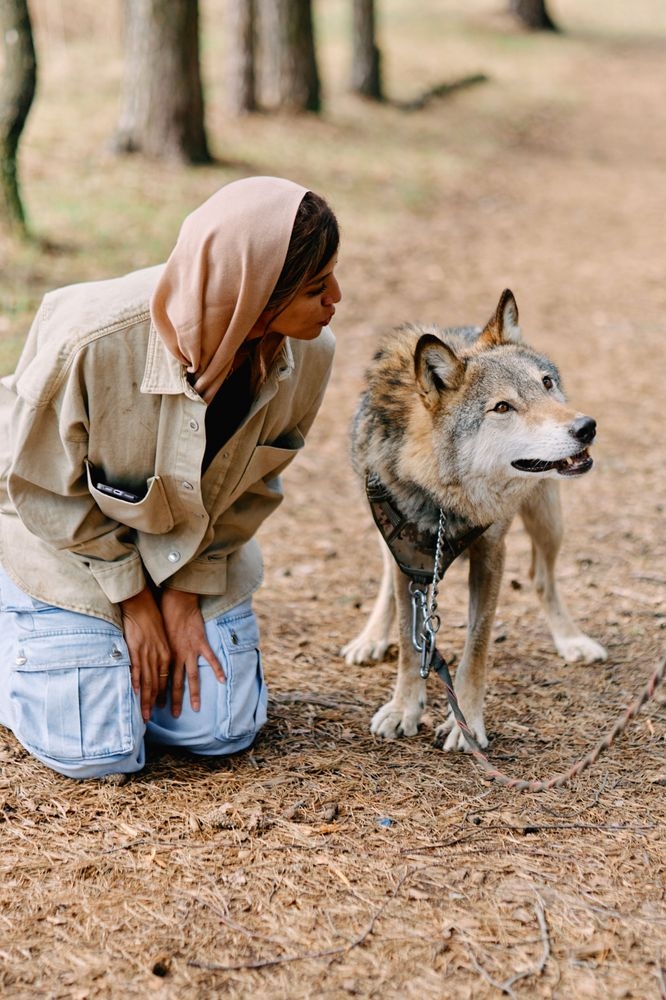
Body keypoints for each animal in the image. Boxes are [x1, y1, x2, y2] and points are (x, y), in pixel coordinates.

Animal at [342, 290, 608, 752]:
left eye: (546, 383)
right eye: (502, 407)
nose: (586, 427)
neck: (446, 501)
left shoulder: (490, 553)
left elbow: (477, 645)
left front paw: (465, 724)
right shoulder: (409, 560)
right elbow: (410, 643)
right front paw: (403, 709)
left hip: (548, 519)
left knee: (542, 577)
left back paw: (571, 640)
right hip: (382, 532)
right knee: (385, 584)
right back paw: (371, 638)